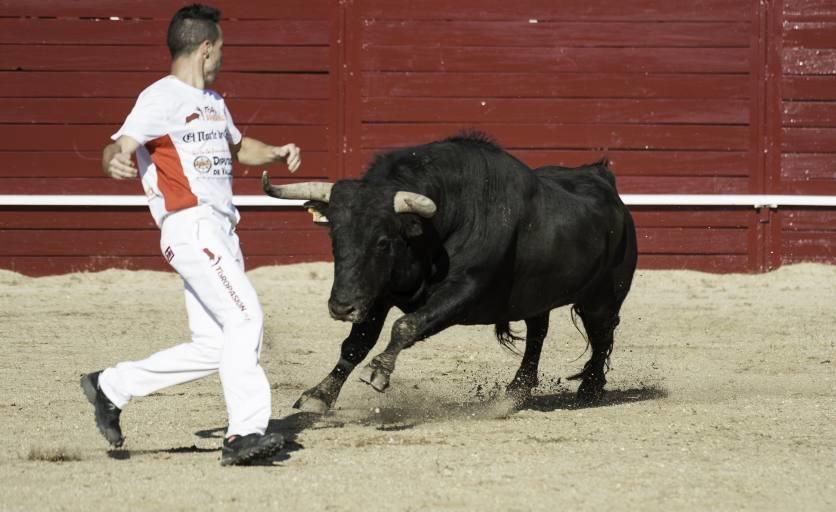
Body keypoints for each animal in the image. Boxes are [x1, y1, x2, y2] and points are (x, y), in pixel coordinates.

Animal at [264, 134, 636, 414]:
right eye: (335, 238)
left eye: (383, 241)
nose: (342, 308)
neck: (432, 233)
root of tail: (602, 178)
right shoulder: (379, 292)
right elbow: (357, 343)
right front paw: (319, 395)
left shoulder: (463, 291)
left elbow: (406, 325)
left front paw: (380, 371)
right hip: (537, 299)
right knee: (537, 335)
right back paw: (516, 391)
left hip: (603, 296)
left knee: (602, 335)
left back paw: (590, 389)